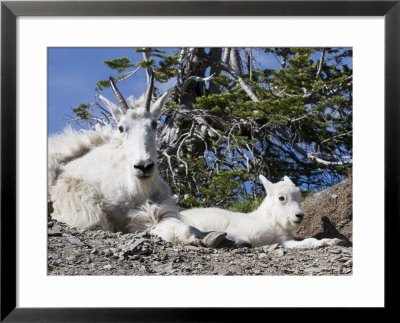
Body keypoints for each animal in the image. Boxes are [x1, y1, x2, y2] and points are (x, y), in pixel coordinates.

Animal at [180, 176, 342, 249]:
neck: (270, 221)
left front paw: (332, 240)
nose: (299, 216)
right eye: (281, 198)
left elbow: (306, 242)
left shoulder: (283, 241)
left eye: (299, 197)